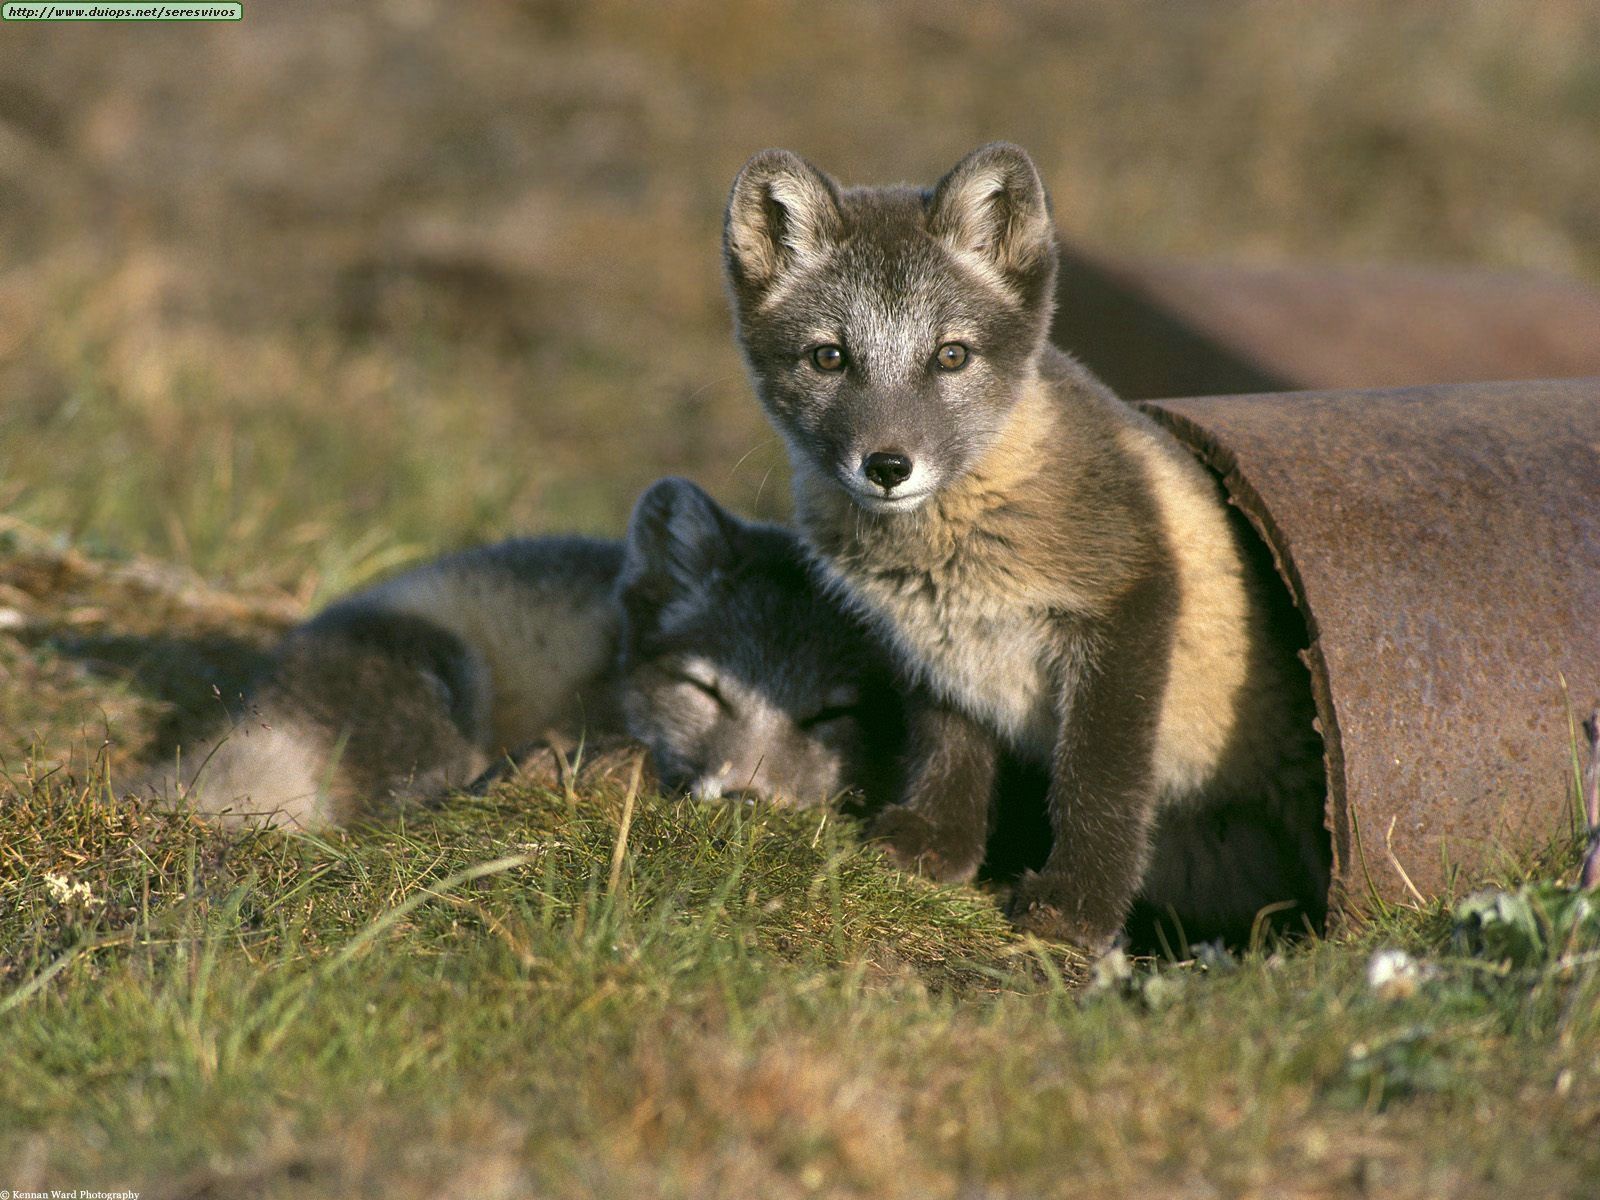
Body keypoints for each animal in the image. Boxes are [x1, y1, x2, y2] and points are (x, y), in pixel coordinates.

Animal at [723, 142, 1330, 949]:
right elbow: (949, 745)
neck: (949, 550)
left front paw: (1077, 906)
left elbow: (1097, 780)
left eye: (951, 356)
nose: (887, 467)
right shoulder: (934, 644)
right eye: (828, 358)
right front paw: (938, 845)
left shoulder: (1128, 597)